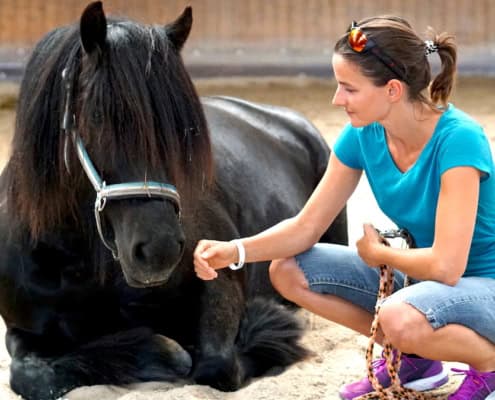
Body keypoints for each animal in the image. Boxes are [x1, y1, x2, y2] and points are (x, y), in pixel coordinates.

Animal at [0, 3, 348, 400]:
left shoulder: (220, 279)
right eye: (98, 117)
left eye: (185, 131)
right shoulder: (22, 331)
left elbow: (217, 364)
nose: (159, 249)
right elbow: (31, 375)